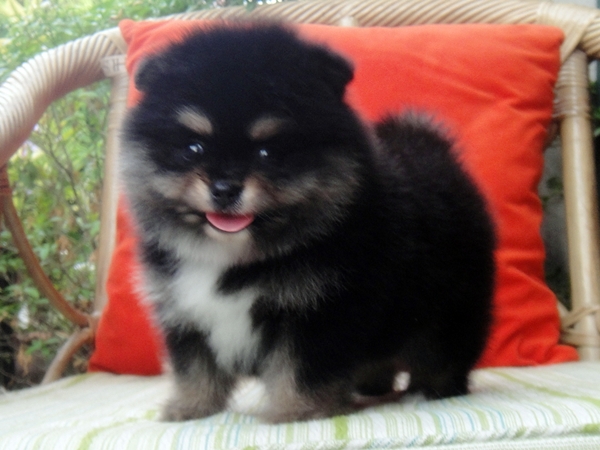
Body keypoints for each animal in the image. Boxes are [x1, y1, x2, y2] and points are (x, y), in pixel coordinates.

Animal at [119, 24, 496, 423]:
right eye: (194, 148)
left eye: (267, 152)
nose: (224, 188)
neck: (235, 257)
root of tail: (430, 148)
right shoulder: (183, 309)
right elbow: (194, 367)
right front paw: (191, 407)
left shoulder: (318, 311)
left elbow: (300, 369)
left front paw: (297, 412)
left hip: (451, 307)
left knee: (444, 353)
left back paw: (434, 390)